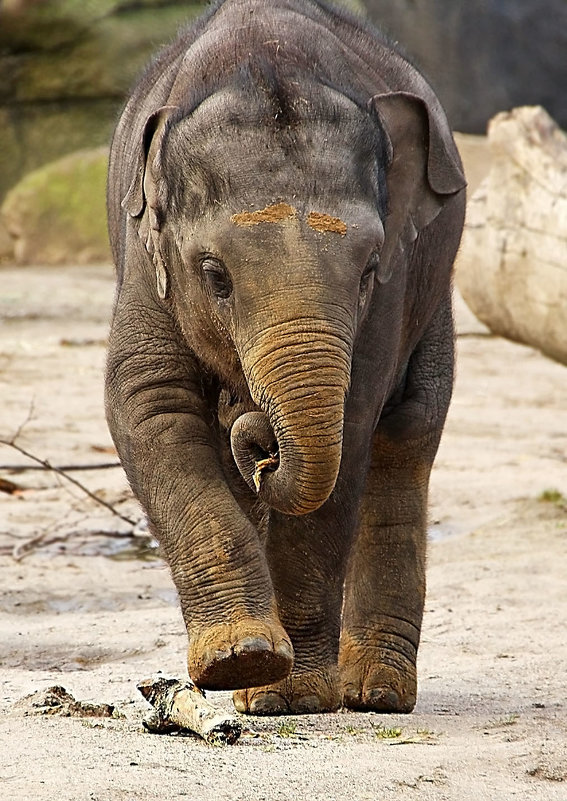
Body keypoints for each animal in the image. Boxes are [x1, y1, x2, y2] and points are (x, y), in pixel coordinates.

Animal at [105, 0, 466, 716]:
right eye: (213, 274)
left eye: (371, 268)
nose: (264, 442)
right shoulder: (144, 258)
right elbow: (150, 406)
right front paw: (240, 662)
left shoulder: (389, 301)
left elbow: (352, 426)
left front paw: (290, 694)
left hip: (435, 299)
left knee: (409, 434)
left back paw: (377, 694)